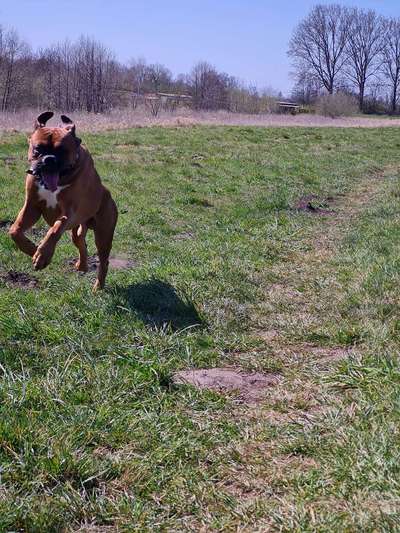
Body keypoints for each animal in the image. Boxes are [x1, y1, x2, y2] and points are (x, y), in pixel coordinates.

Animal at [9, 109, 117, 288]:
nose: (49, 159)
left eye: (62, 150)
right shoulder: (31, 207)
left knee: (103, 261)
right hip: (78, 231)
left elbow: (54, 230)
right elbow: (14, 230)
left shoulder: (68, 212)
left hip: (103, 235)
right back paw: (82, 266)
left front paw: (42, 256)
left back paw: (98, 286)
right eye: (38, 149)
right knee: (82, 244)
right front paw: (32, 250)